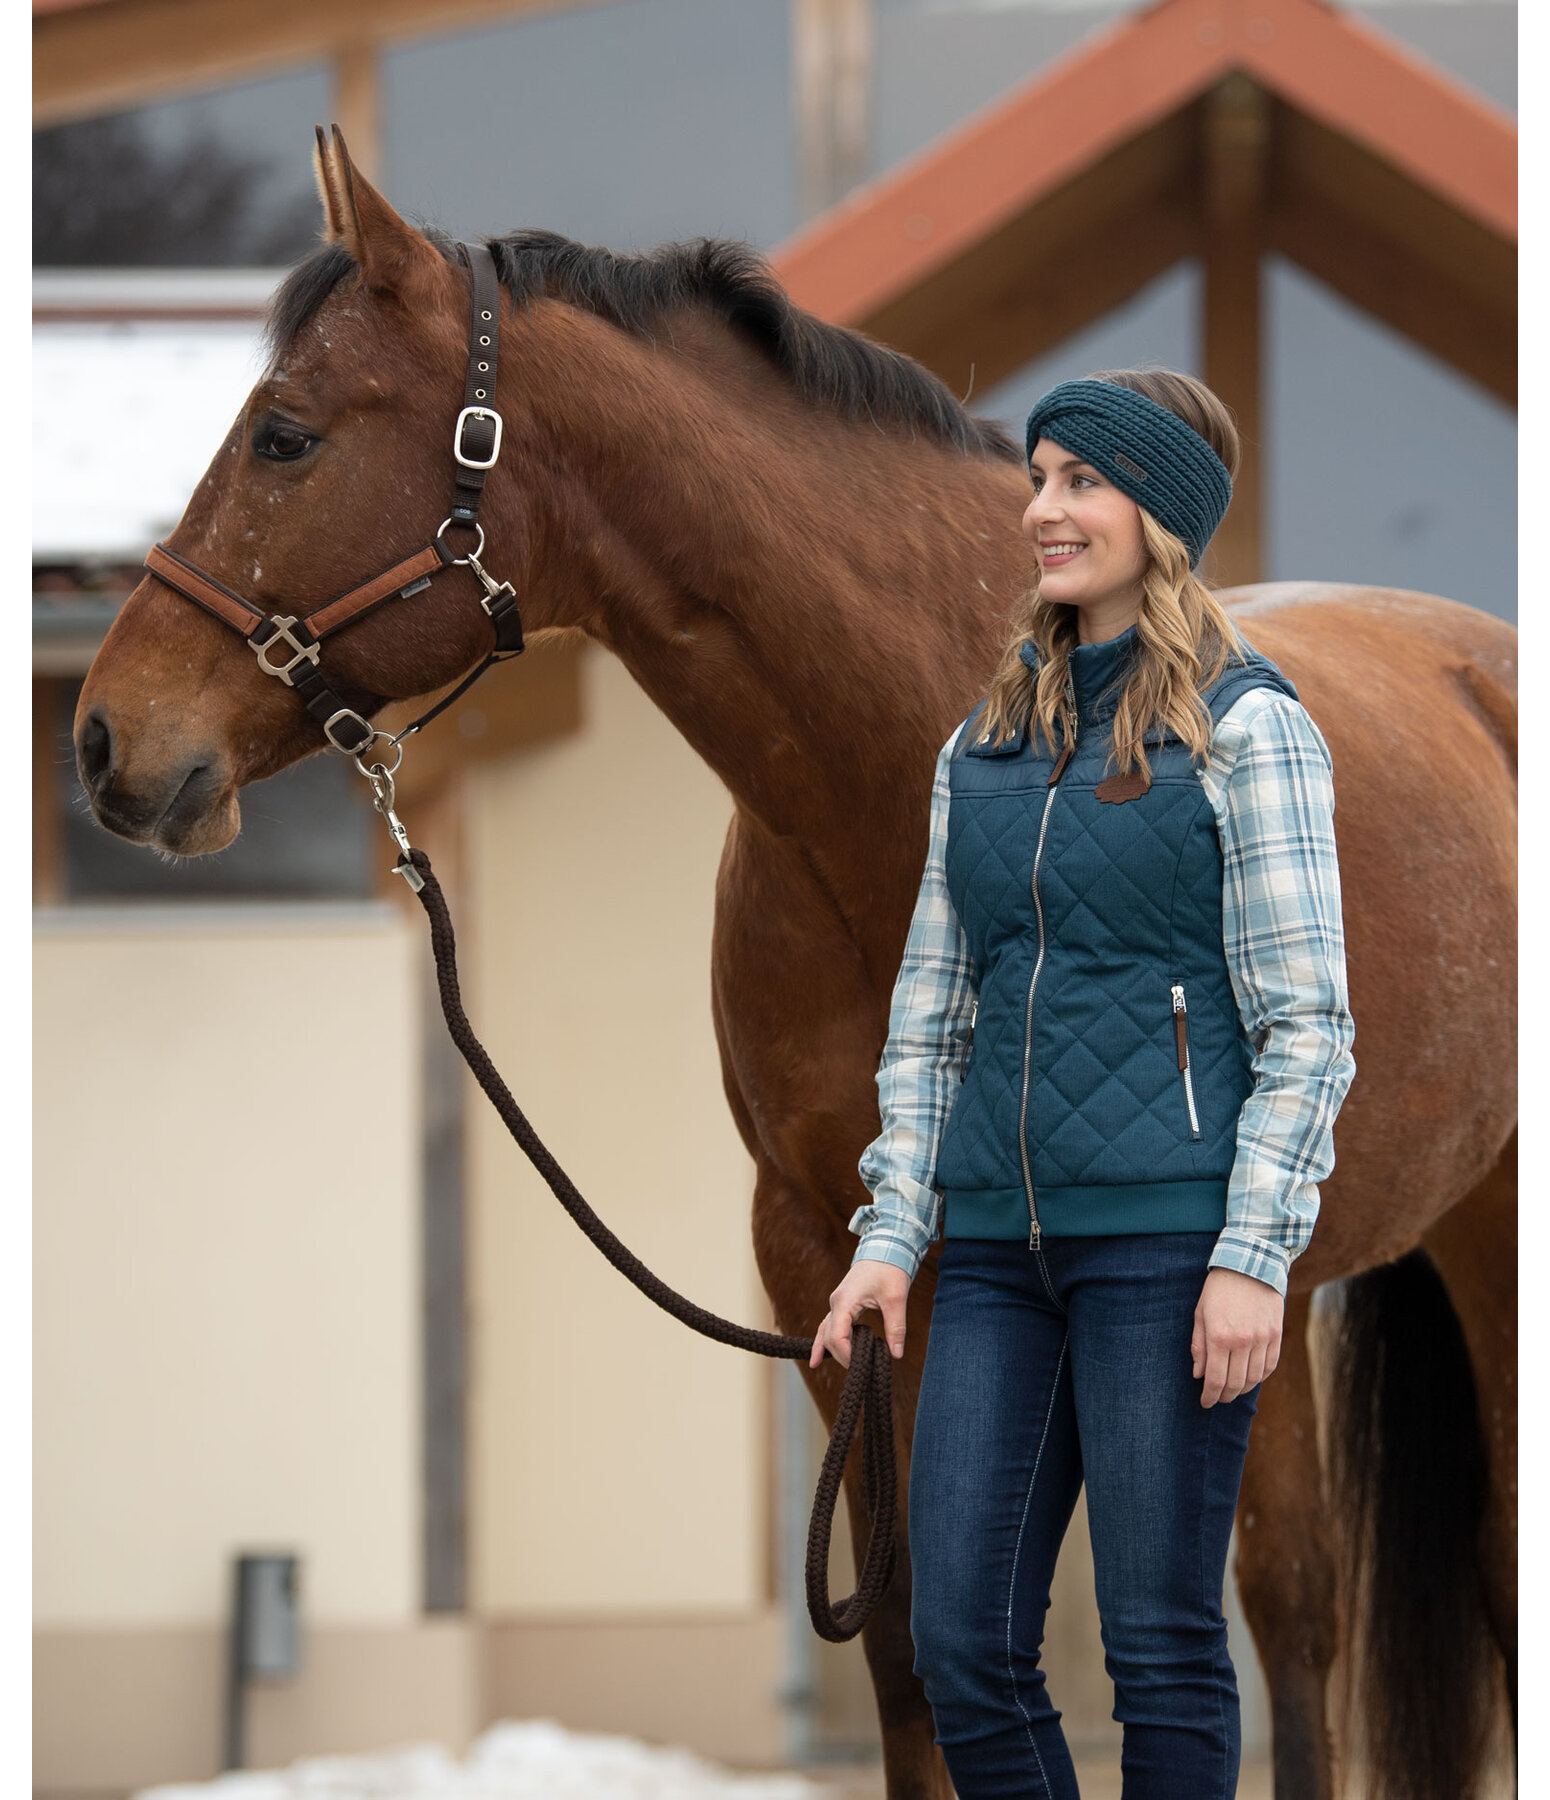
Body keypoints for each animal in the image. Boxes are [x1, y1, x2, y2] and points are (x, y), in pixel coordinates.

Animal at [75, 140, 1512, 1800]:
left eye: (287, 435)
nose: (104, 740)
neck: (896, 778)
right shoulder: (826, 1260)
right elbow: (910, 1646)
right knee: (1292, 1604)